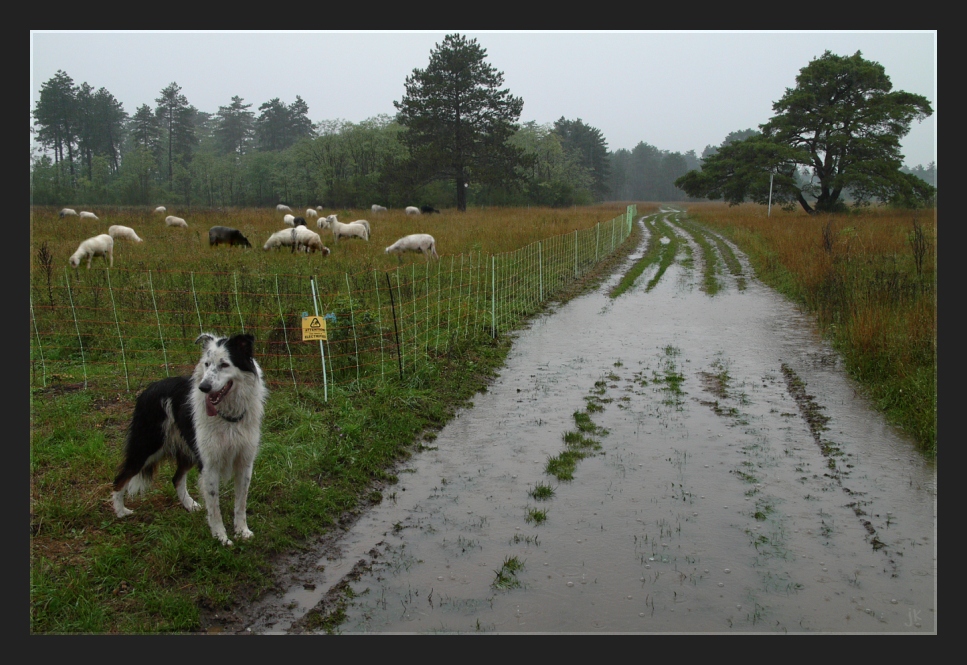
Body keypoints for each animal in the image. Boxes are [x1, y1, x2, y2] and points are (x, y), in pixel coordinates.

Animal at [111, 332, 266, 544]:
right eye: (207, 364)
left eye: (224, 364)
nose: (204, 387)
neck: (228, 416)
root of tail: (150, 388)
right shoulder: (209, 465)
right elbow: (214, 508)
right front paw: (220, 536)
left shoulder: (244, 462)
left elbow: (240, 503)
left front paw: (242, 531)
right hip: (147, 448)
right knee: (120, 478)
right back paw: (120, 511)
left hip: (187, 450)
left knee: (176, 478)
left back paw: (190, 505)